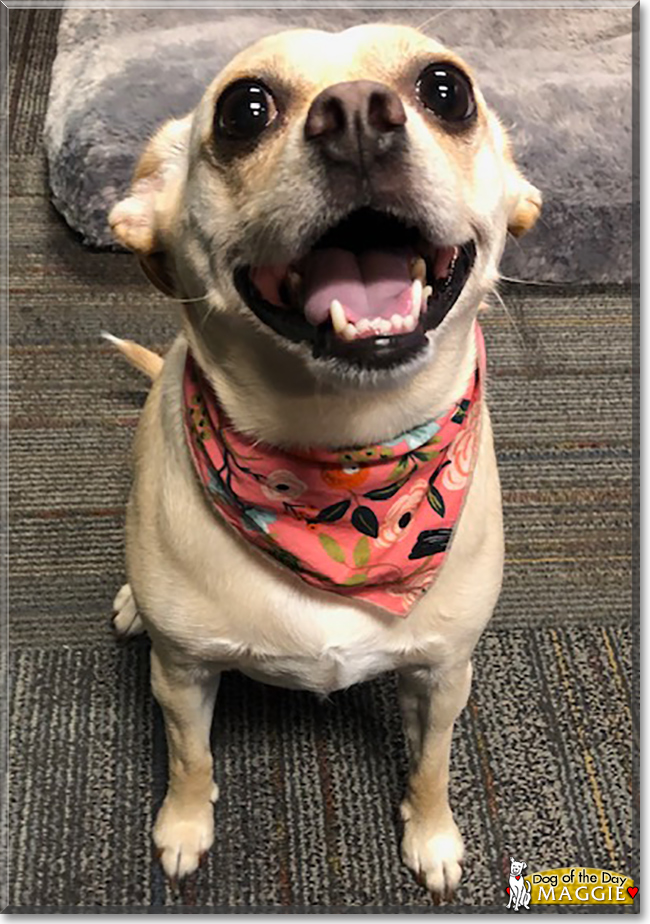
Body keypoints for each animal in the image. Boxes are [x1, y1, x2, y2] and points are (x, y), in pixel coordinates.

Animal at [106, 25, 540, 900]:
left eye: (446, 90)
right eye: (244, 109)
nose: (358, 115)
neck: (341, 476)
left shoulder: (444, 674)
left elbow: (433, 766)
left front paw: (433, 838)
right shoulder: (182, 676)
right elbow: (189, 758)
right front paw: (184, 828)